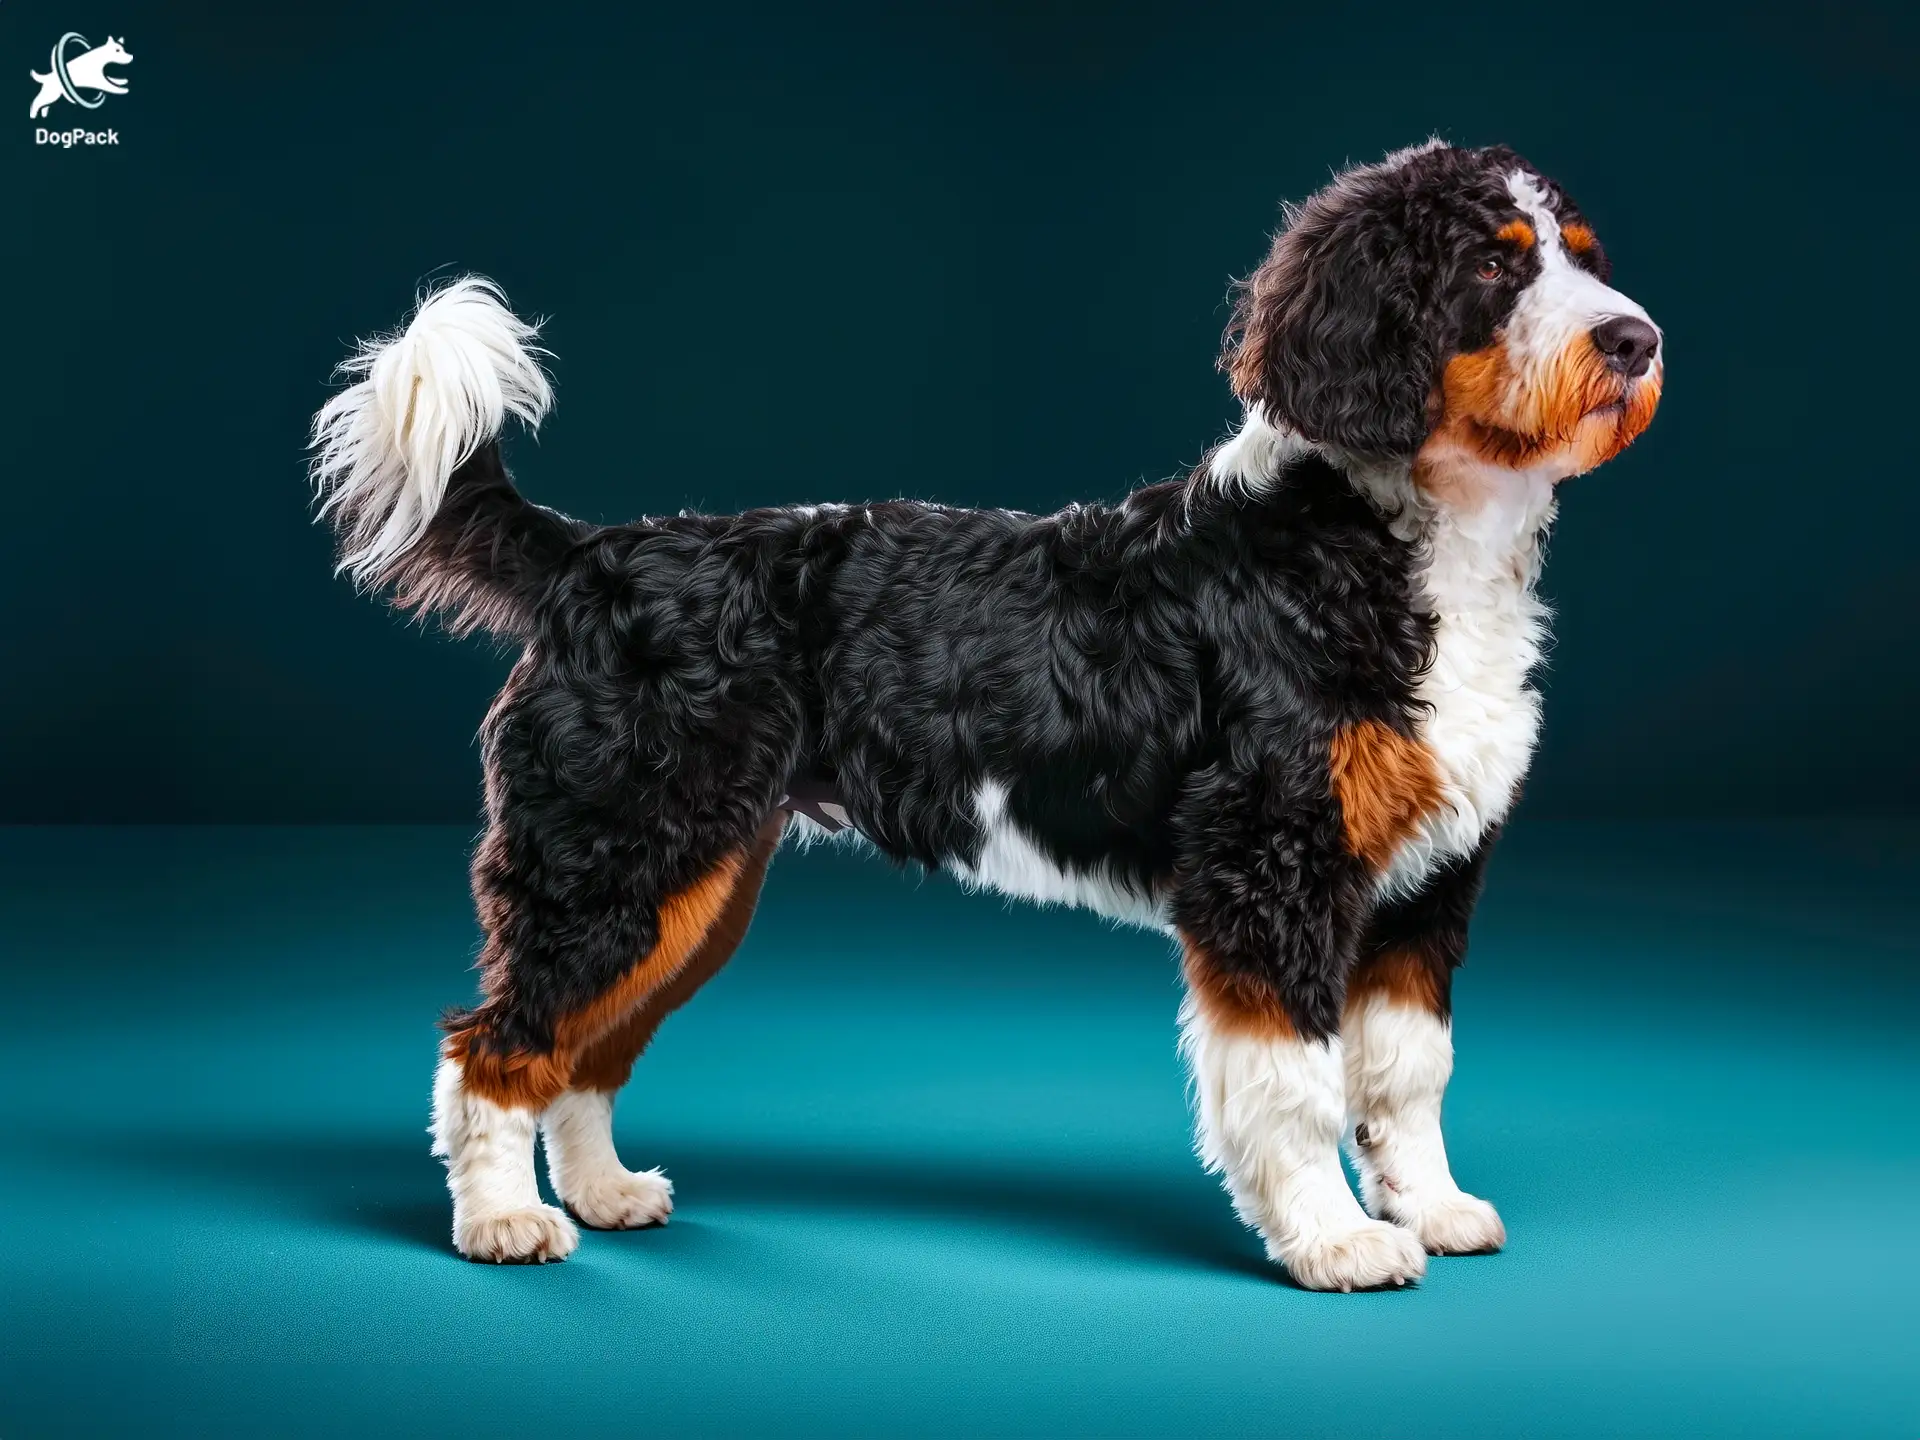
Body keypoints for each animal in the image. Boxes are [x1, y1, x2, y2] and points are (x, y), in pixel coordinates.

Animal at [307, 141, 1658, 1290]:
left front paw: (1430, 1208)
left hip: (694, 875)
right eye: (1493, 263)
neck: (1380, 541)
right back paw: (502, 1221)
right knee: (495, 1045)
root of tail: (594, 555)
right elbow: (1299, 1083)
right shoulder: (1274, 864)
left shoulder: (1429, 882)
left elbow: (1408, 1075)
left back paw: (601, 1192)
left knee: (587, 1051)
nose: (1636, 338)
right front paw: (1334, 1240)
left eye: (1585, 254)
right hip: (613, 857)